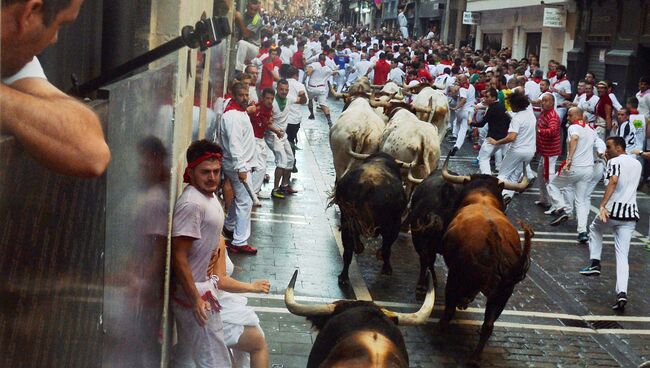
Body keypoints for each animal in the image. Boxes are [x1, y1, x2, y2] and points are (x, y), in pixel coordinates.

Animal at [334, 151, 404, 284]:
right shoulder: (395, 224)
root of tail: (366, 183)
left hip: (346, 220)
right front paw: (386, 267)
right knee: (386, 247)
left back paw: (343, 277)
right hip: (388, 225)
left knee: (347, 250)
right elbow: (387, 247)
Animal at [438, 155, 536, 366]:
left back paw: (442, 329)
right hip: (504, 292)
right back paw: (474, 357)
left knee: (450, 307)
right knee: (488, 325)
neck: (482, 198)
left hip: (457, 275)